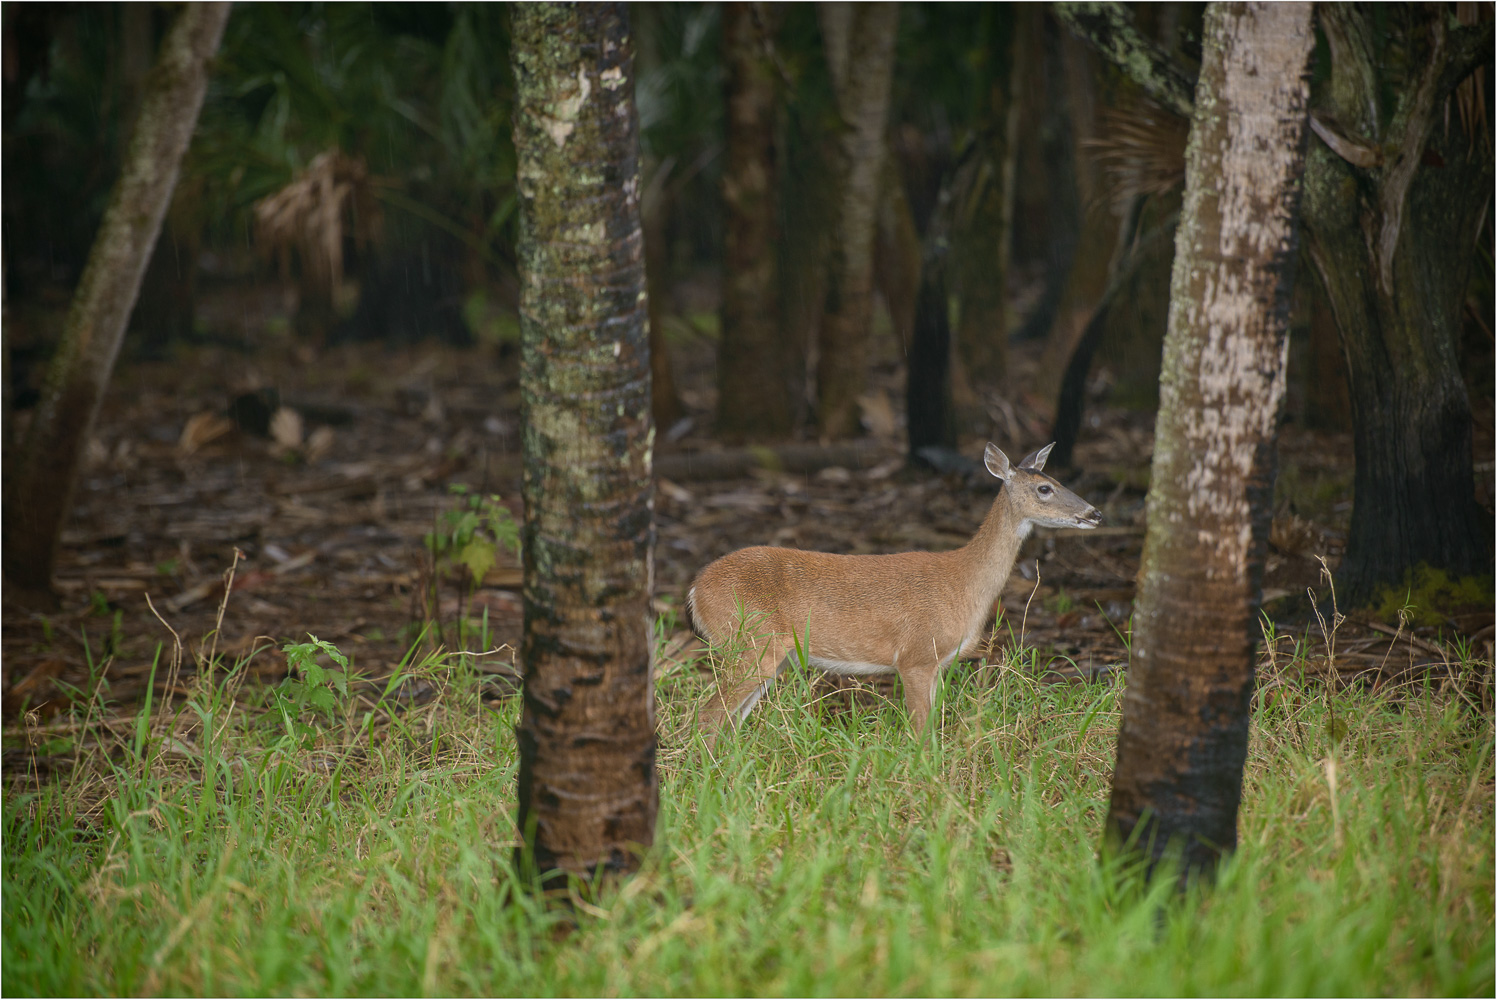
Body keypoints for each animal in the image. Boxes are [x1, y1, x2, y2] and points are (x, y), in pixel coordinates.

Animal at [688, 440, 1101, 742]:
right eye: (1045, 488)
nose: (1094, 513)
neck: (963, 583)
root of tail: (695, 591)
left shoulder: (936, 664)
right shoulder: (916, 655)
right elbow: (920, 734)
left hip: (766, 656)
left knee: (729, 722)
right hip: (748, 642)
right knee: (707, 718)